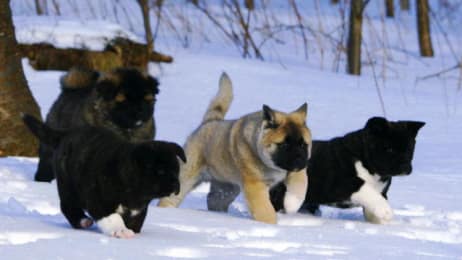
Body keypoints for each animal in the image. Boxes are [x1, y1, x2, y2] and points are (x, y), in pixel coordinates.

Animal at [21, 114, 184, 238]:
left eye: (177, 171)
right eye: (160, 171)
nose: (176, 184)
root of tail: (66, 134)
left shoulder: (139, 210)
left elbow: (136, 222)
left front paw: (132, 231)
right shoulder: (98, 200)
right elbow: (113, 217)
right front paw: (121, 231)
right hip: (67, 184)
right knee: (67, 205)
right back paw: (82, 221)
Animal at [157, 73, 312, 223]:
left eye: (303, 144)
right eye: (284, 144)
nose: (299, 158)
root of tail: (208, 122)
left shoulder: (296, 168)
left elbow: (301, 182)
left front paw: (292, 203)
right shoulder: (255, 185)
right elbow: (264, 210)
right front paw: (271, 225)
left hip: (226, 189)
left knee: (214, 200)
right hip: (187, 177)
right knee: (172, 197)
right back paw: (166, 212)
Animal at [270, 117, 426, 223]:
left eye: (410, 149)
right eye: (389, 149)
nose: (405, 167)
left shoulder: (380, 192)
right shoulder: (342, 184)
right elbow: (367, 190)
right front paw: (386, 210)